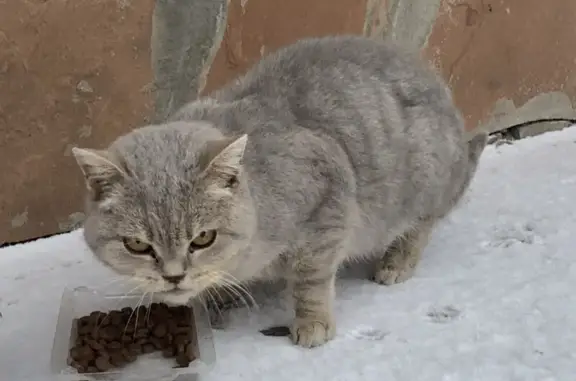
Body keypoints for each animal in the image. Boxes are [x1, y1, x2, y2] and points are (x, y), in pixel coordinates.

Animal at [71, 35, 486, 348]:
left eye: (203, 238)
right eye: (137, 245)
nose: (174, 277)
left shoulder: (329, 202)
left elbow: (311, 278)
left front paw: (312, 321)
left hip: (422, 184)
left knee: (422, 225)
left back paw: (397, 261)